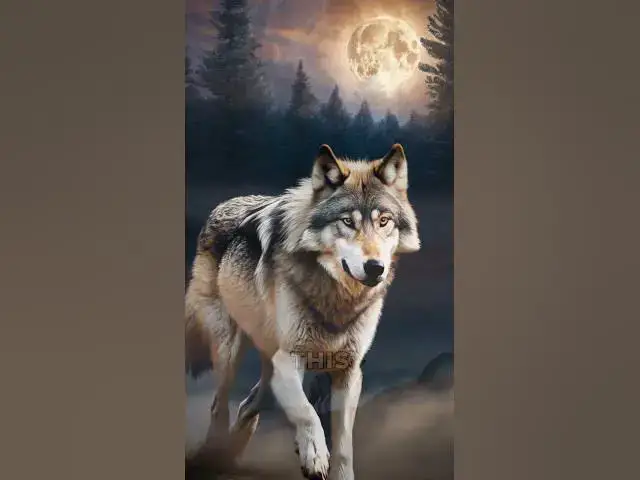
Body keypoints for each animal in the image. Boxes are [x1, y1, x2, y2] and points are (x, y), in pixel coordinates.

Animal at [185, 143, 420, 480]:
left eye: (384, 221)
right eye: (347, 222)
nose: (375, 267)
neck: (336, 298)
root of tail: (223, 205)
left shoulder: (349, 371)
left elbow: (343, 441)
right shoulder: (288, 360)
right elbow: (307, 412)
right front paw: (315, 457)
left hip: (268, 374)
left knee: (247, 405)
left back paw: (232, 453)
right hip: (230, 350)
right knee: (220, 404)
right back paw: (214, 457)